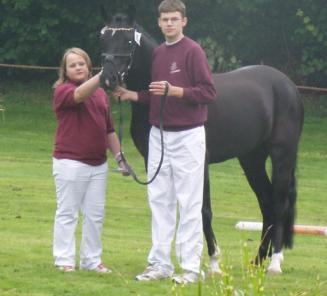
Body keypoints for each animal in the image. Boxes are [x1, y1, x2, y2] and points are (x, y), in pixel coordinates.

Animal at [101, 12, 306, 274]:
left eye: (128, 41)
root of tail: (288, 85)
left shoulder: (200, 162)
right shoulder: (153, 160)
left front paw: (214, 263)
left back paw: (275, 263)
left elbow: (202, 209)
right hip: (251, 159)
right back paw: (258, 260)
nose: (108, 79)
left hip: (282, 155)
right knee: (267, 202)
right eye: (104, 38)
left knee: (279, 203)